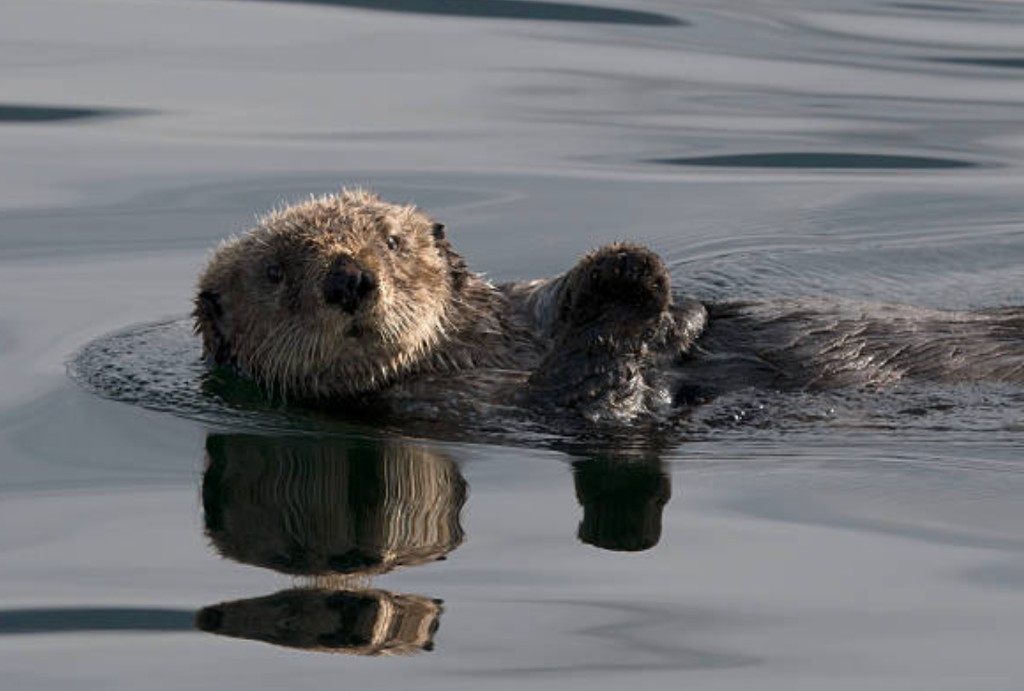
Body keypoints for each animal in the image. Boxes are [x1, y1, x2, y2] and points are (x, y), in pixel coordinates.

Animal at [194, 189, 1023, 425]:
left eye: (392, 241)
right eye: (276, 270)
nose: (350, 280)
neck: (475, 345)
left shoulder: (521, 308)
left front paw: (639, 277)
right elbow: (601, 386)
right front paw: (634, 277)